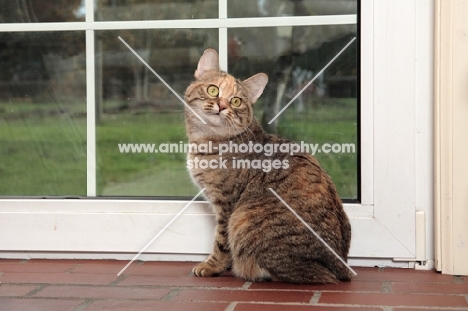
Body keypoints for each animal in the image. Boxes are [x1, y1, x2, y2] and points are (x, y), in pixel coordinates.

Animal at [183, 48, 352, 286]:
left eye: (236, 101)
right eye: (212, 89)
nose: (222, 105)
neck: (208, 141)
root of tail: (342, 267)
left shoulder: (226, 205)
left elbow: (221, 242)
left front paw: (212, 265)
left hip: (242, 218)